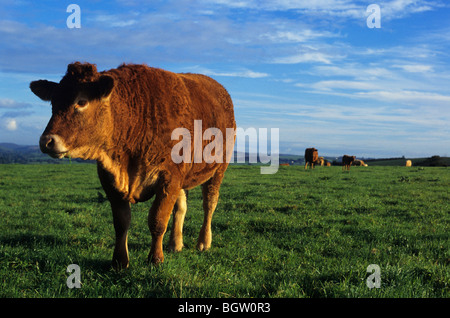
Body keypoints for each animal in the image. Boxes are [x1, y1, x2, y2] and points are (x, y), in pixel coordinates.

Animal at [29, 61, 237, 268]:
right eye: (53, 102)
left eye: (81, 101)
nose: (46, 141)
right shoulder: (109, 179)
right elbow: (121, 222)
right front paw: (119, 261)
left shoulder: (169, 178)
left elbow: (158, 220)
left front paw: (155, 258)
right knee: (181, 207)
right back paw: (175, 244)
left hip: (218, 169)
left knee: (209, 204)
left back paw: (203, 242)